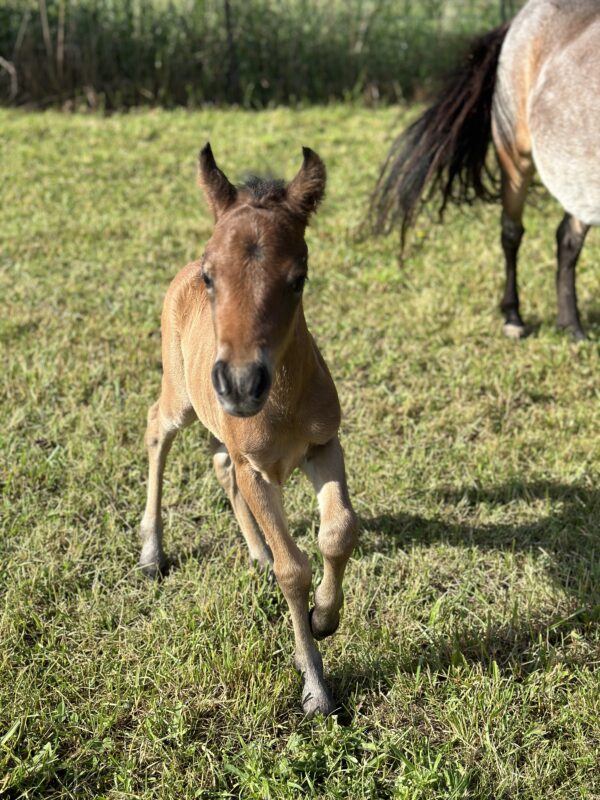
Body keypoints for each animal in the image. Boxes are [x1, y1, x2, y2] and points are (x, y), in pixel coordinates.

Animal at [139, 145, 358, 720]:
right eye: (212, 275)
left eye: (298, 278)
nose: (239, 384)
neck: (280, 405)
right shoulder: (257, 469)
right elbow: (293, 569)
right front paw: (316, 688)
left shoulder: (324, 446)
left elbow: (338, 531)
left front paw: (325, 617)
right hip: (180, 394)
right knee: (156, 429)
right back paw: (152, 554)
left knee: (219, 463)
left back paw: (255, 553)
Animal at [370, 0, 600, 340]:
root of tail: (520, 17)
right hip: (515, 156)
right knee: (512, 233)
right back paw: (514, 318)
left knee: (568, 239)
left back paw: (571, 325)